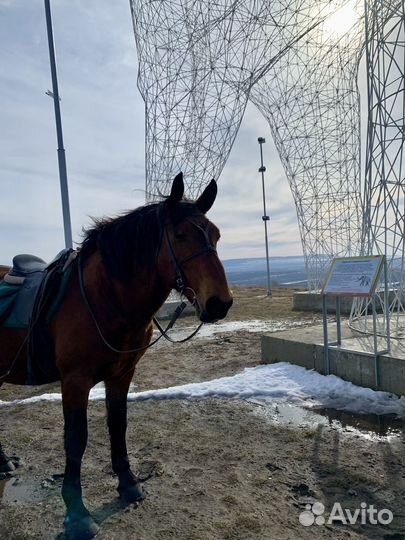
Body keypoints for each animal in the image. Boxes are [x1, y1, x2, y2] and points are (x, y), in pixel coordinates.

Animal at [0, 174, 232, 540]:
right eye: (180, 235)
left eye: (216, 235)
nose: (220, 303)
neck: (105, 298)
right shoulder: (75, 380)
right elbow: (76, 440)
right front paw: (77, 515)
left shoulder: (122, 373)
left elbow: (118, 424)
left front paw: (128, 484)